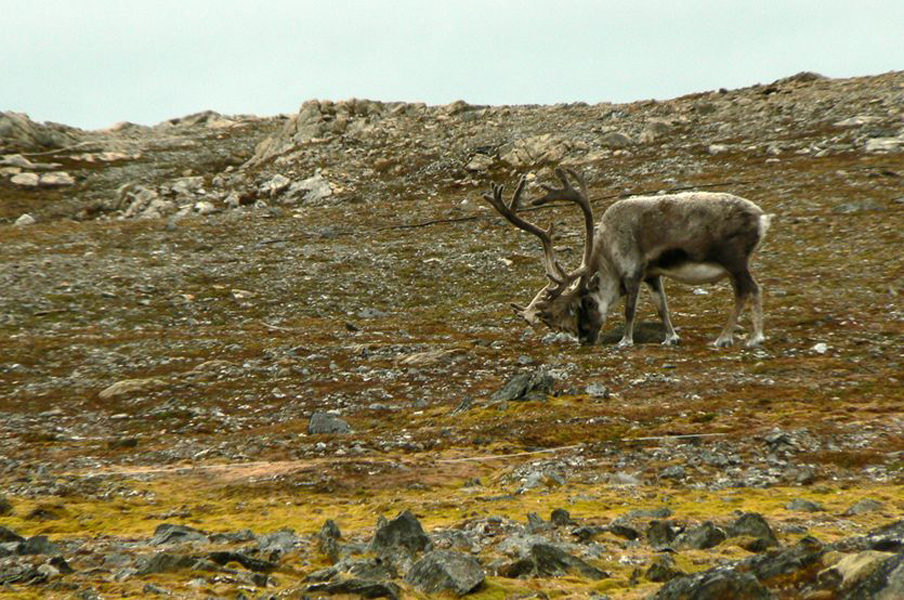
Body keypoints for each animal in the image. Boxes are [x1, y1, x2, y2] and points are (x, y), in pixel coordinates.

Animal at [483, 167, 773, 348]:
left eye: (587, 302)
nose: (585, 339)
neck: (609, 249)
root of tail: (762, 217)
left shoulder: (633, 271)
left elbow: (629, 308)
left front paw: (625, 340)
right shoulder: (653, 275)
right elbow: (662, 306)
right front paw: (671, 338)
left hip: (735, 261)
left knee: (752, 289)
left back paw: (750, 337)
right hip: (733, 268)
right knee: (742, 292)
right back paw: (731, 336)